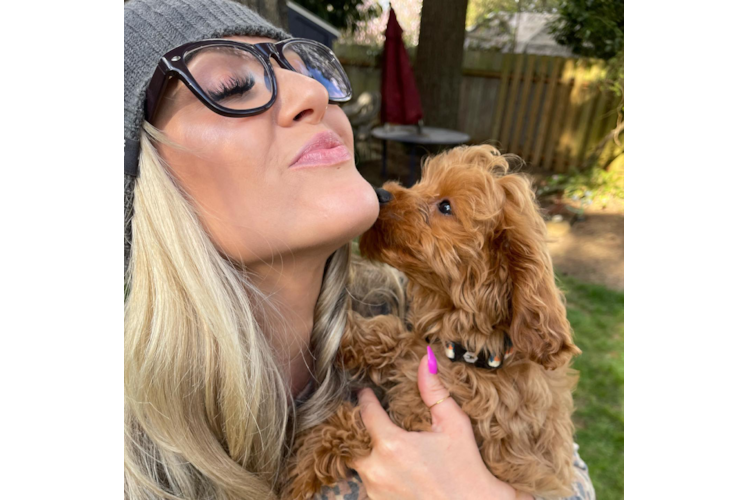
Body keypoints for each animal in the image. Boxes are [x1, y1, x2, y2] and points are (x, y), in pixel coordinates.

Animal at [284, 145, 580, 500]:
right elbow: (393, 336)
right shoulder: (418, 352)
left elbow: (349, 426)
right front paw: (342, 336)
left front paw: (296, 471)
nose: (380, 193)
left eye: (446, 206)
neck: (468, 352)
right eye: (423, 182)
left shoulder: (418, 423)